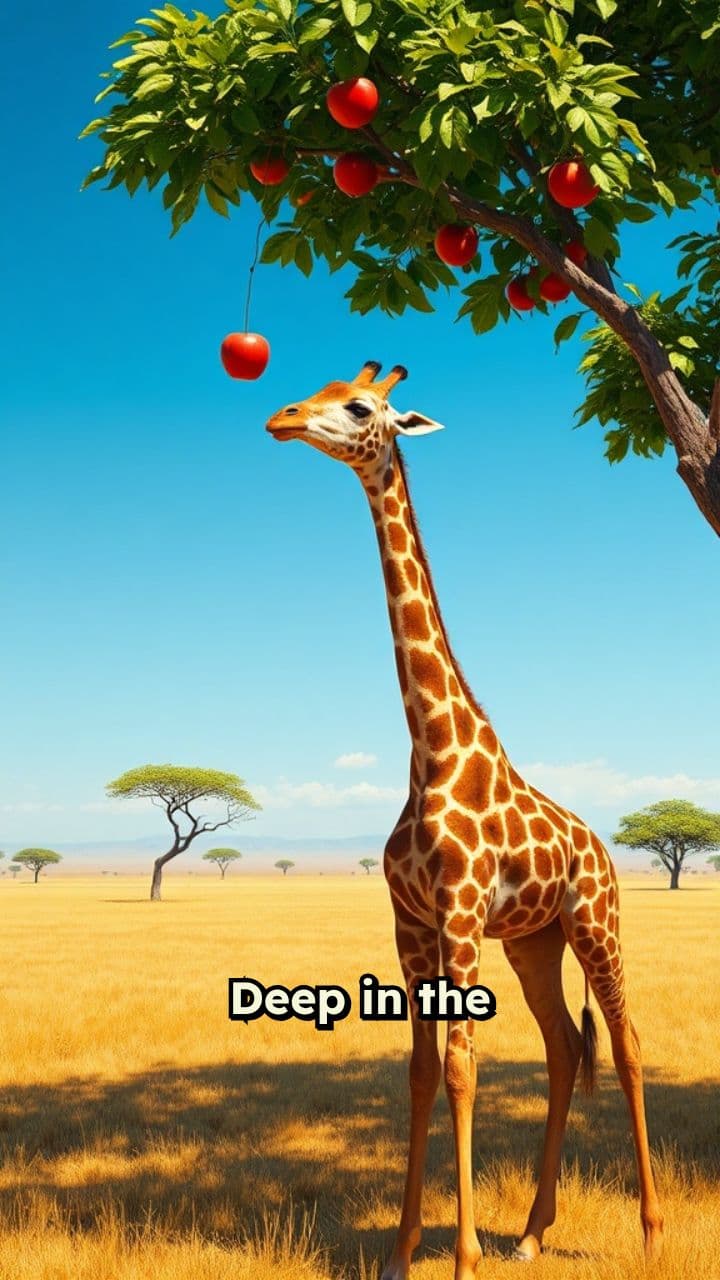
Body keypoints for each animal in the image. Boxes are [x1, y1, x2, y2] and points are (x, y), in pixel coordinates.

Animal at [266, 361, 664, 1278]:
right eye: (318, 391)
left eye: (360, 408)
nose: (282, 418)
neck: (433, 749)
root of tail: (602, 846)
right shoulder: (410, 922)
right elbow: (419, 1069)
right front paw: (404, 1250)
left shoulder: (457, 916)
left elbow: (462, 1068)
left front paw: (463, 1255)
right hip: (533, 941)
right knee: (564, 1049)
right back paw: (532, 1232)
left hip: (596, 921)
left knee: (625, 1043)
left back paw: (649, 1231)